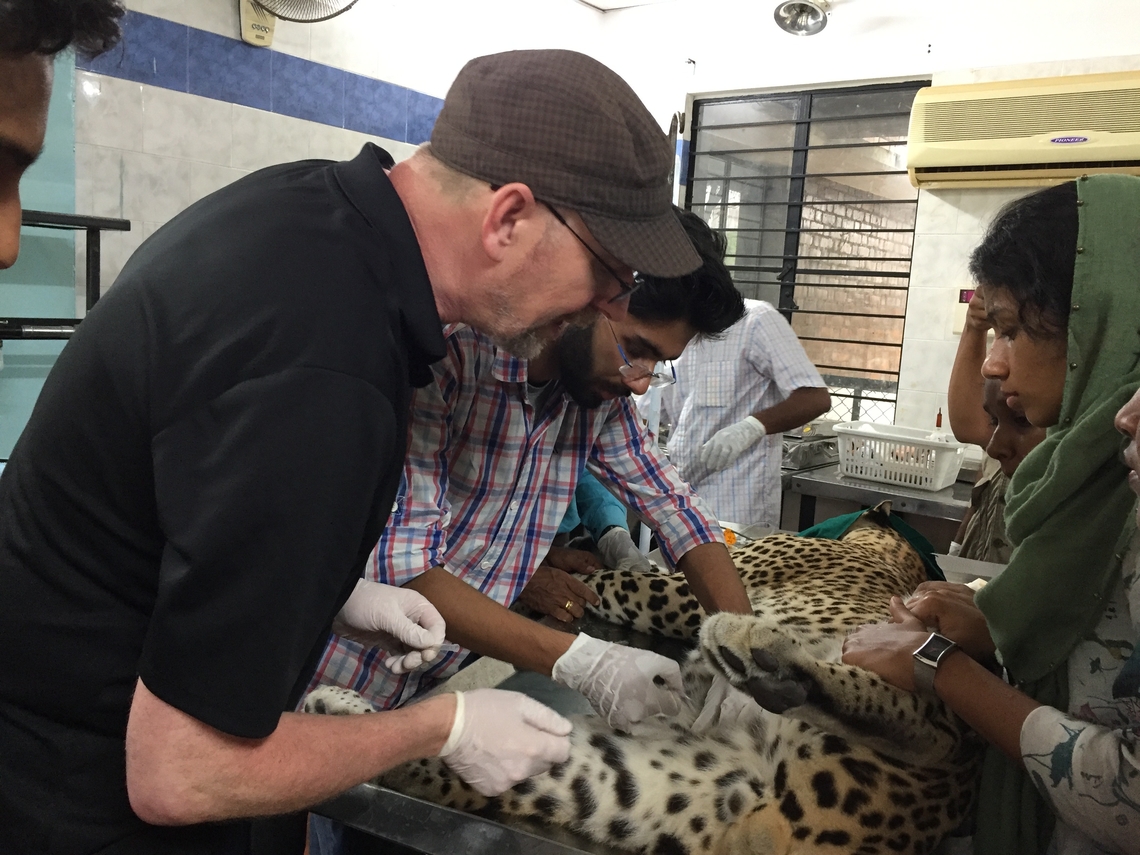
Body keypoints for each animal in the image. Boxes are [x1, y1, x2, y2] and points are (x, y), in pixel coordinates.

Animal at [307, 506, 984, 852]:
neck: (893, 555)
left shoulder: (678, 589)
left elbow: (616, 578)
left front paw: (554, 576)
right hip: (642, 781)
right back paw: (335, 711)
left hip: (926, 712)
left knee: (924, 725)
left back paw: (760, 657)